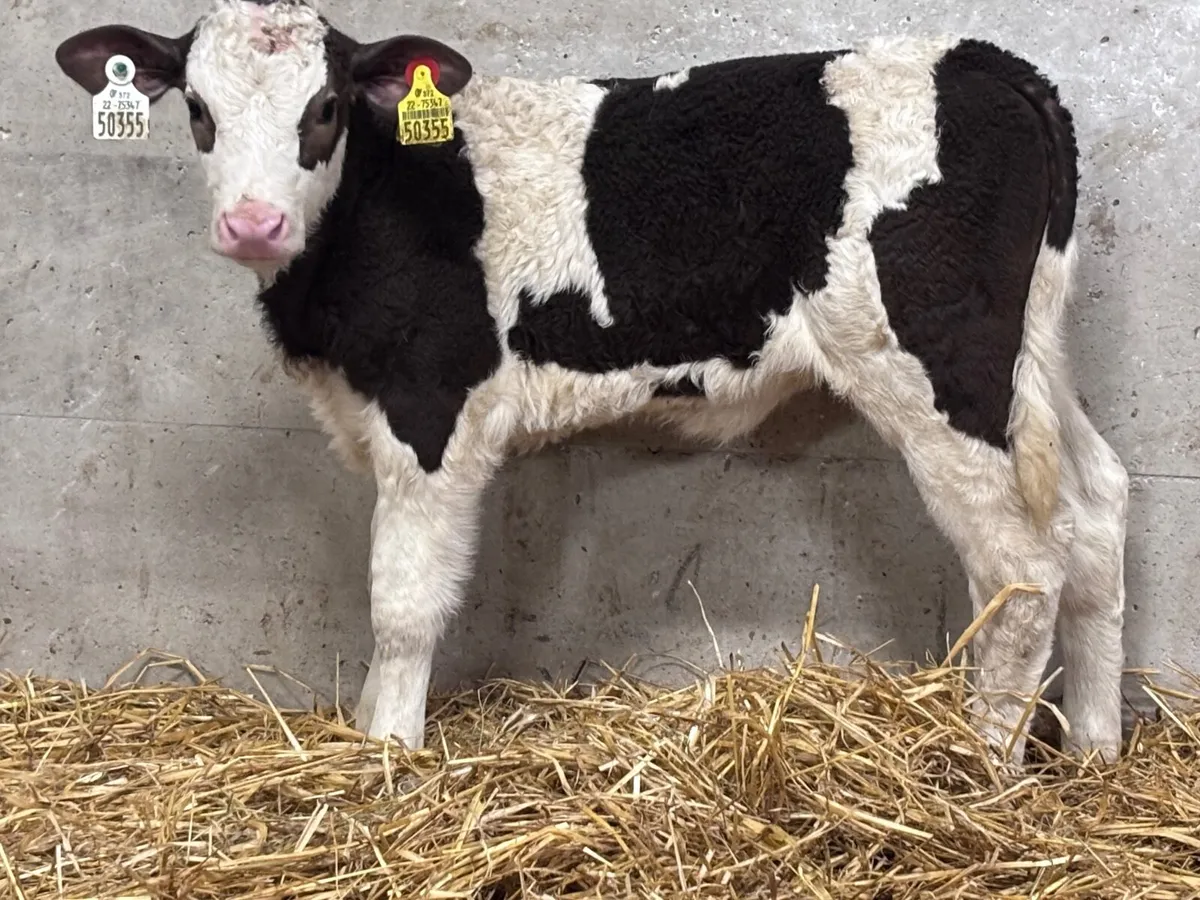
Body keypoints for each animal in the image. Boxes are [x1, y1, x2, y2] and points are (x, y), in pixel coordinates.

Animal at [55, 0, 1130, 768]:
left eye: (322, 108)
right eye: (199, 111)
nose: (252, 224)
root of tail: (984, 58)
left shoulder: (431, 412)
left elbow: (403, 604)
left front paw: (384, 753)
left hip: (941, 368)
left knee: (1023, 572)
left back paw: (980, 770)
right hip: (1032, 359)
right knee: (1099, 511)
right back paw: (1094, 750)